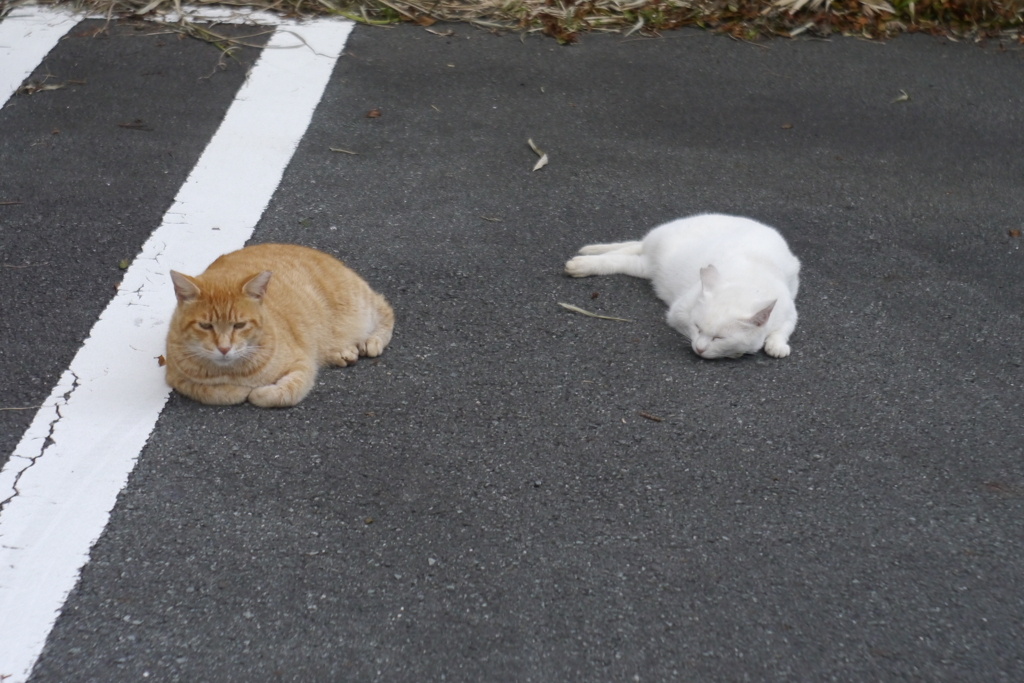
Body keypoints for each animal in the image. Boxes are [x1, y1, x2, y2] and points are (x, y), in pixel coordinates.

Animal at [165, 244, 393, 409]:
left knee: (386, 309)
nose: (223, 348)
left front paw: (259, 392)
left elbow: (286, 392)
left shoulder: (303, 364)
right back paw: (342, 353)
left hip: (359, 304)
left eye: (239, 325)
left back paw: (372, 340)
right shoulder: (176, 378)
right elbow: (212, 392)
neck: (230, 370)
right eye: (205, 326)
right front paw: (238, 391)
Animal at [569, 215, 798, 360]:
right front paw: (738, 352)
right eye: (697, 327)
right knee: (625, 252)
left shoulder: (789, 310)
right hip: (651, 258)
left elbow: (783, 329)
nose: (699, 349)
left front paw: (776, 346)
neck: (747, 281)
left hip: (645, 267)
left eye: (719, 338)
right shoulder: (678, 311)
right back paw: (581, 262)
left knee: (626, 253)